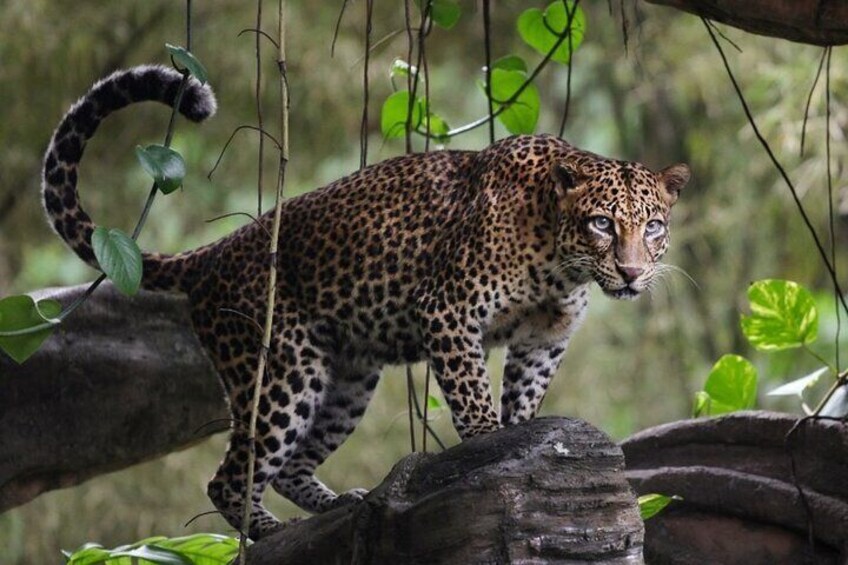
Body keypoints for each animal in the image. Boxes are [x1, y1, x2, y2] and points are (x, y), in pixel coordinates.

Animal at [41, 66, 688, 536]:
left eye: (654, 226)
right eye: (602, 223)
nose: (632, 272)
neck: (559, 262)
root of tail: (215, 252)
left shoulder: (543, 341)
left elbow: (523, 400)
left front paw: (521, 439)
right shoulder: (447, 310)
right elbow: (473, 399)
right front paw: (486, 449)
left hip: (348, 378)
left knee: (292, 464)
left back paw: (338, 506)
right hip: (280, 368)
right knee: (230, 475)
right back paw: (270, 531)